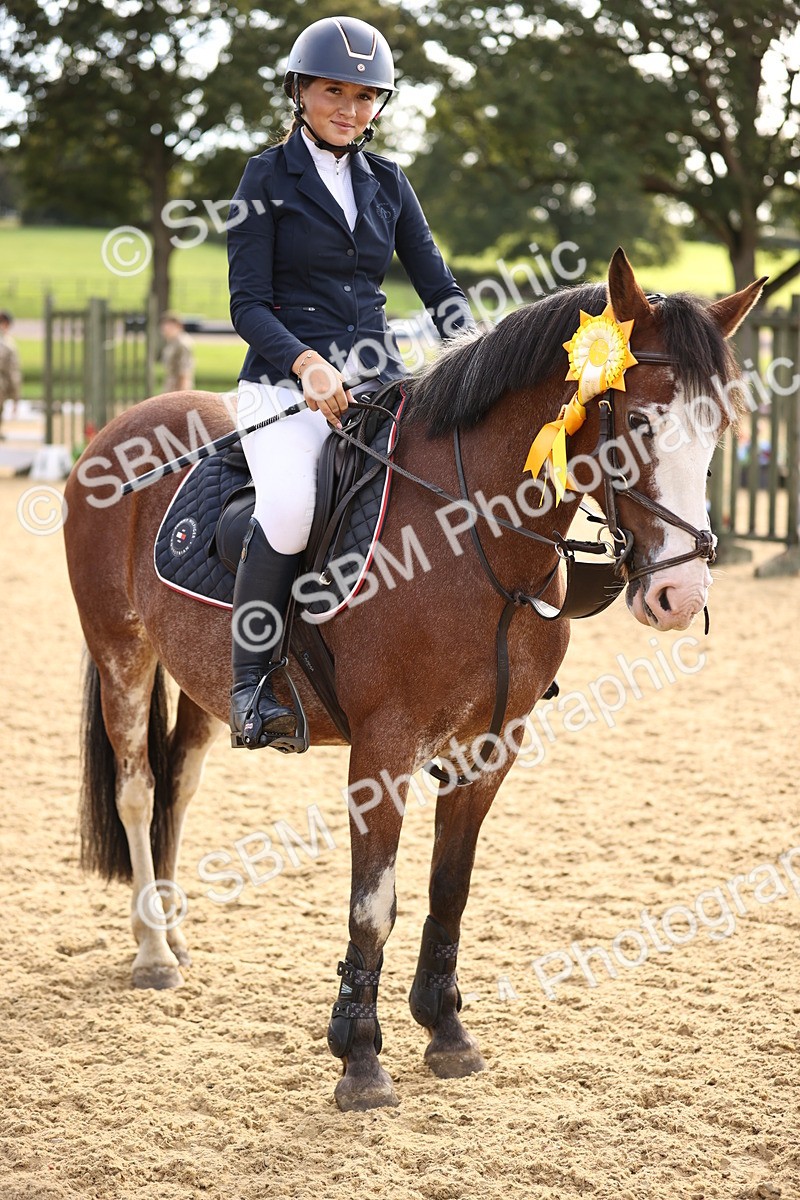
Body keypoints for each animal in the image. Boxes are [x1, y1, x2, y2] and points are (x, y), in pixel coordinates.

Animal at [63, 250, 764, 1111]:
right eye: (637, 423)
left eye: (719, 428)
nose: (680, 596)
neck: (474, 538)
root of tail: (121, 425)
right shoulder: (384, 751)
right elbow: (373, 905)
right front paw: (360, 1059)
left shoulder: (490, 746)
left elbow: (447, 888)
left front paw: (446, 1030)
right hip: (121, 653)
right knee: (135, 788)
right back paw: (152, 951)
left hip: (198, 681)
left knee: (178, 784)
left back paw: (173, 928)